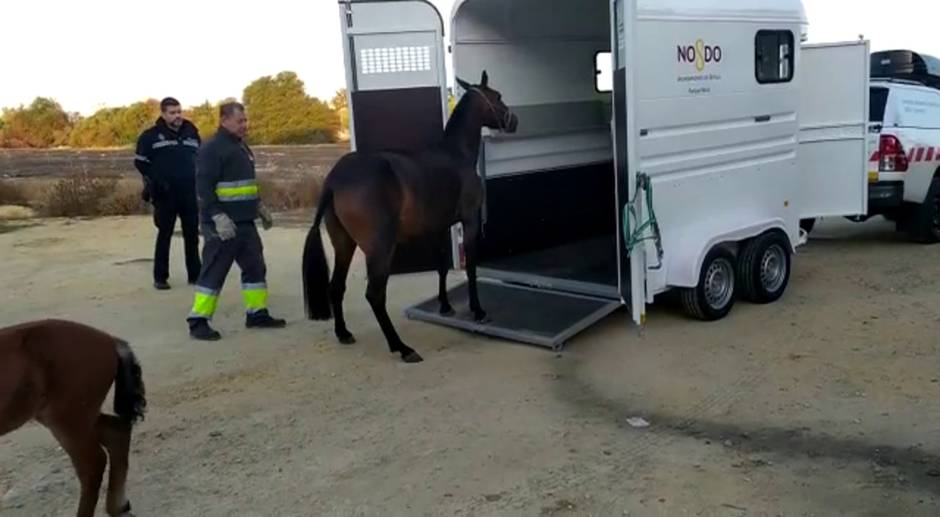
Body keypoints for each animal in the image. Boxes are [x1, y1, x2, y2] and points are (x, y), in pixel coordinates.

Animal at [0, 319, 147, 517]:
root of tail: (110, 340)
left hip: (66, 419)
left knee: (94, 464)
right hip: (74, 416)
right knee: (117, 433)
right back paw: (119, 507)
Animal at [302, 71, 518, 363]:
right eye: (497, 96)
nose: (514, 120)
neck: (456, 153)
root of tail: (335, 179)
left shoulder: (439, 228)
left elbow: (441, 265)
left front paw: (445, 306)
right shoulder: (469, 221)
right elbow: (471, 266)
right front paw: (477, 310)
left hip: (344, 244)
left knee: (336, 287)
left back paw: (343, 333)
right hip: (380, 249)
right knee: (375, 295)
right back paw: (402, 347)